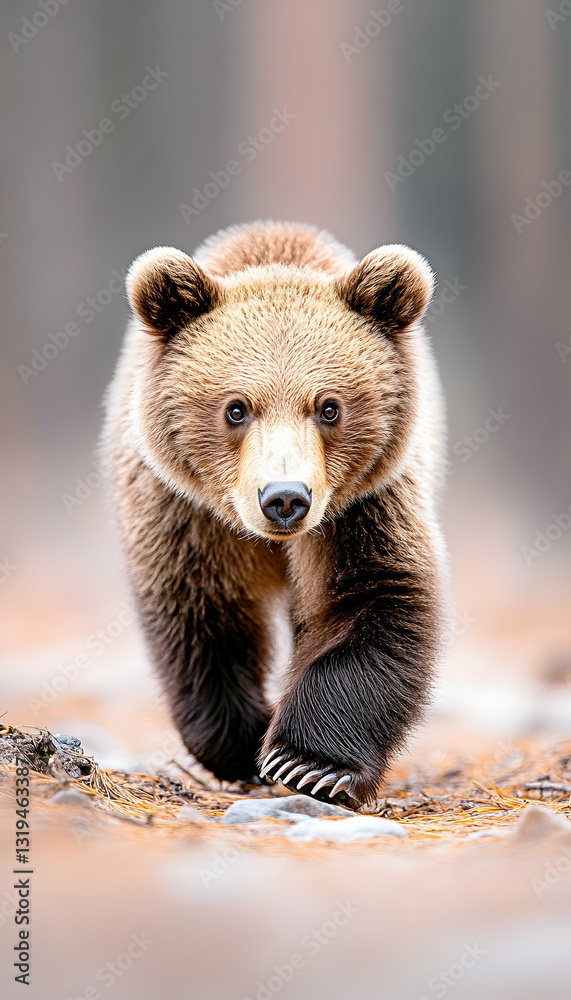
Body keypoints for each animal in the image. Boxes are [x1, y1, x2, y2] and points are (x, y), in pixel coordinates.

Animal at [102, 220, 448, 809]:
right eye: (236, 408)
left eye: (329, 407)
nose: (285, 498)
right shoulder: (184, 514)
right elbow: (203, 619)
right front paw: (245, 743)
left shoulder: (363, 507)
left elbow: (376, 596)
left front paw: (309, 763)